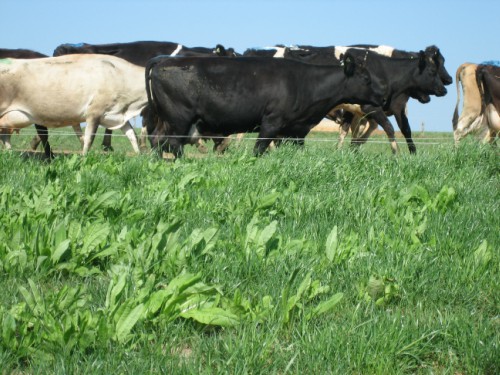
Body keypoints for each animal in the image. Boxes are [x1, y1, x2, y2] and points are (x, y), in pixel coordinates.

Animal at [0, 53, 147, 155]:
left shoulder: (117, 115)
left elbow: (132, 135)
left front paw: (139, 156)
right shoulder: (94, 113)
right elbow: (88, 139)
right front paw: (85, 157)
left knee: (5, 136)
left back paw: (9, 153)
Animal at [145, 53, 386, 158]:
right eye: (366, 79)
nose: (383, 96)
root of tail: (163, 60)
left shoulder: (298, 130)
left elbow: (298, 150)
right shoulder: (272, 121)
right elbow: (259, 148)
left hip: (166, 118)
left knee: (157, 139)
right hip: (179, 117)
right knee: (172, 143)